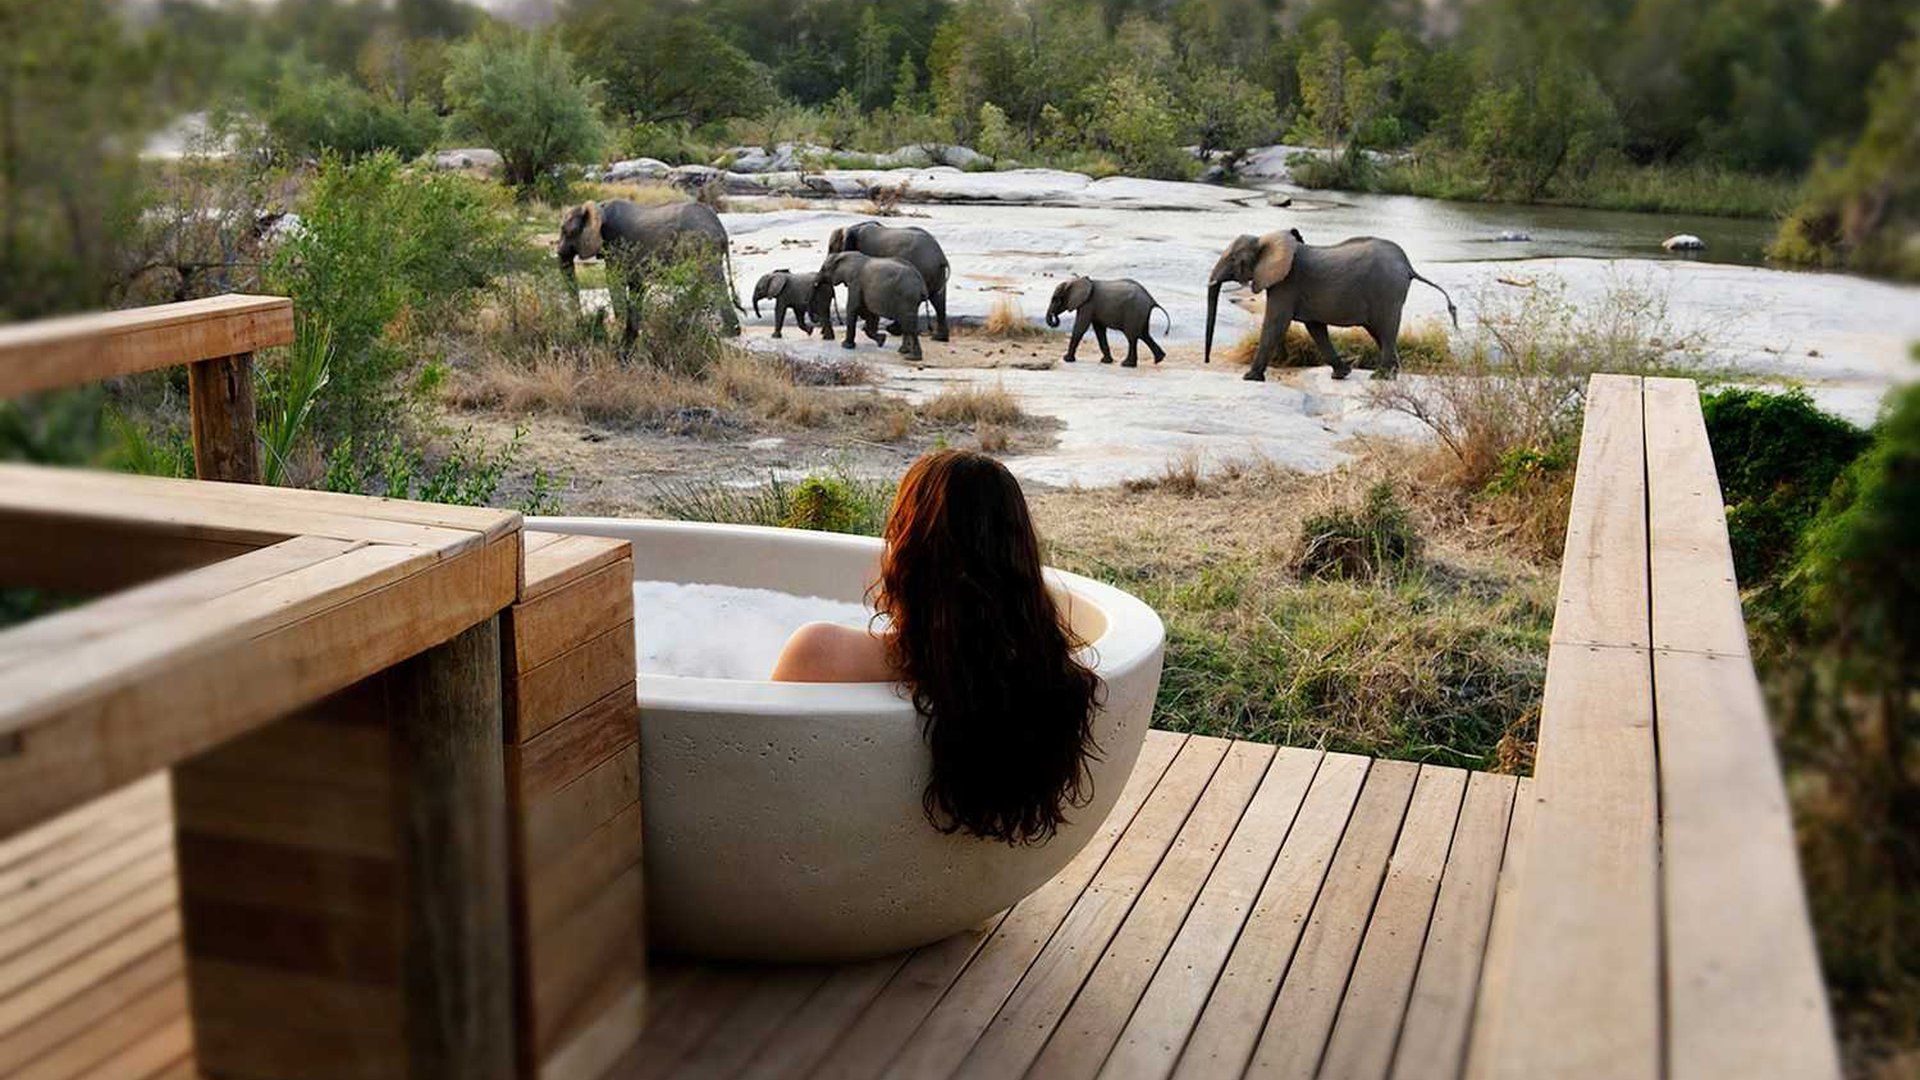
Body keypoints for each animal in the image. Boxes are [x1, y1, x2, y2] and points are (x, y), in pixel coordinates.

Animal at [557, 199, 745, 354]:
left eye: (566, 231)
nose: (580, 322)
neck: (599, 207)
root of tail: (722, 230)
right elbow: (636, 285)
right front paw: (632, 333)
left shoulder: (616, 244)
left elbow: (614, 279)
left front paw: (620, 328)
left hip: (701, 245)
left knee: (712, 281)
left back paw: (726, 332)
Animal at [1204, 228, 1458, 381]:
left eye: (1232, 259)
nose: (1206, 361)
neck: (1268, 240)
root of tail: (1408, 266)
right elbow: (1315, 328)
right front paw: (1341, 374)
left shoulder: (1286, 283)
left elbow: (1276, 323)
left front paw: (1250, 378)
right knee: (1381, 331)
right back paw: (1393, 375)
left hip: (1386, 290)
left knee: (1386, 328)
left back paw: (1380, 377)